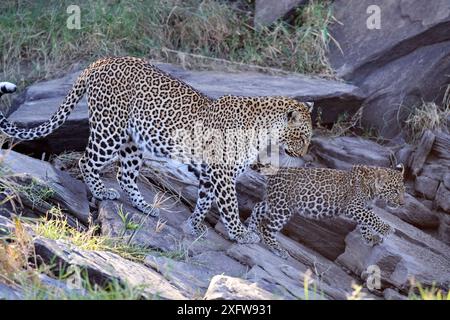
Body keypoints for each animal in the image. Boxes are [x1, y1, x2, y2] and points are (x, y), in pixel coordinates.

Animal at [0, 57, 312, 242]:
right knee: (87, 161)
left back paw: (145, 207)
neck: (266, 130)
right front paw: (242, 234)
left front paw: (192, 226)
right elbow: (230, 207)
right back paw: (101, 191)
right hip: (110, 129)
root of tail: (101, 60)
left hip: (133, 141)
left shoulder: (210, 173)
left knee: (125, 175)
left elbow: (205, 200)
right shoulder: (223, 173)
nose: (304, 155)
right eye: (303, 136)